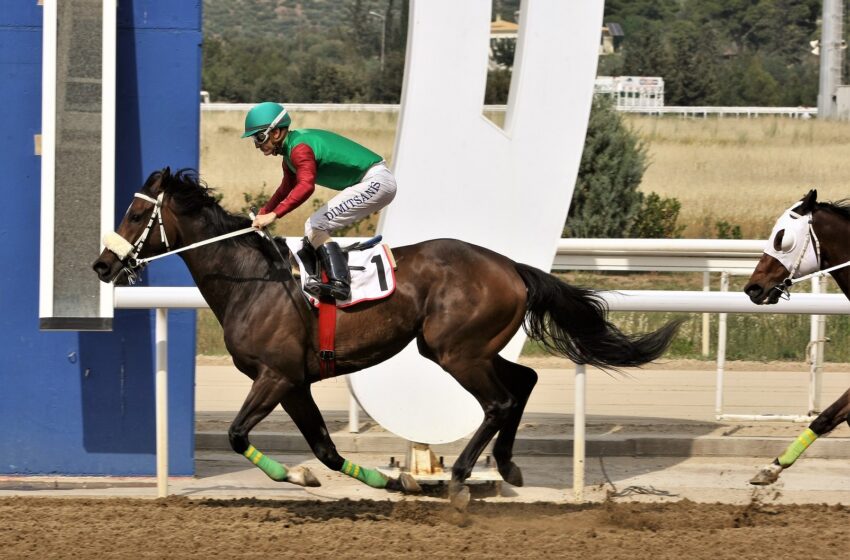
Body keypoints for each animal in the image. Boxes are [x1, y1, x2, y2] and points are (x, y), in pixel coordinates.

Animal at [93, 167, 680, 508]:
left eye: (137, 212)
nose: (102, 265)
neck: (251, 280)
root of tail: (511, 266)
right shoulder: (295, 382)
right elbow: (326, 450)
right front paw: (391, 481)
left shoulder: (275, 376)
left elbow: (239, 435)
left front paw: (298, 475)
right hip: (467, 347)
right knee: (525, 380)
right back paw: (507, 464)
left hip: (455, 351)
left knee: (499, 400)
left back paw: (462, 479)